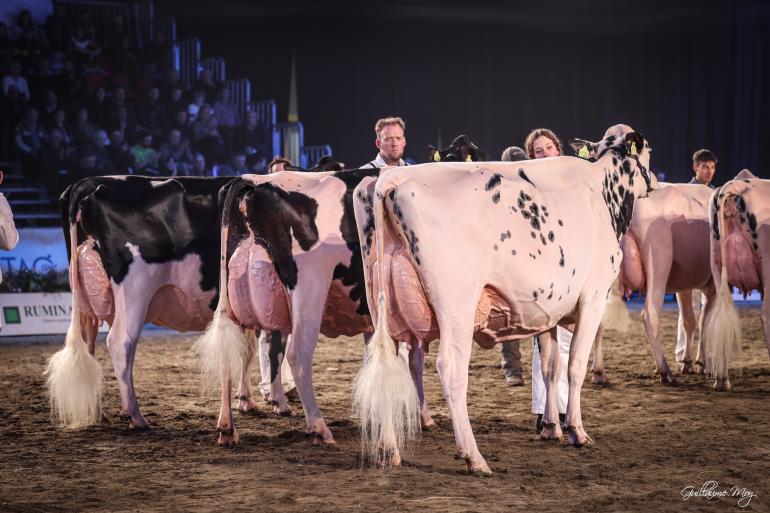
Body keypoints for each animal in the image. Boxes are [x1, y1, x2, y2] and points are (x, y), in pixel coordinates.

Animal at [352, 126, 656, 474]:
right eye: (648, 151)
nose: (654, 182)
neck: (602, 189)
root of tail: (393, 178)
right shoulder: (592, 297)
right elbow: (575, 366)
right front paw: (577, 432)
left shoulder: (548, 311)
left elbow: (550, 368)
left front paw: (551, 427)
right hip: (457, 305)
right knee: (451, 369)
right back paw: (473, 456)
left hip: (380, 303)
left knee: (386, 361)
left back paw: (388, 449)